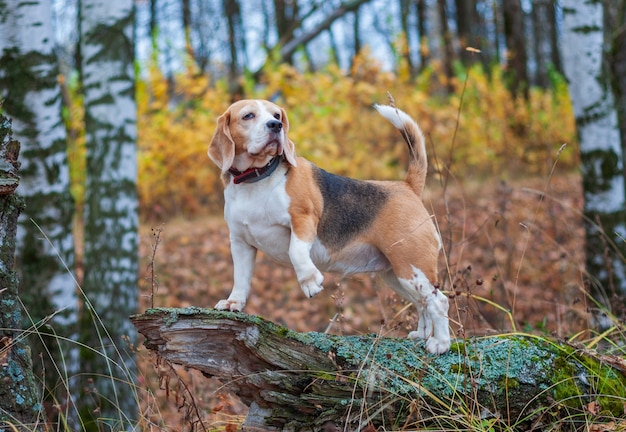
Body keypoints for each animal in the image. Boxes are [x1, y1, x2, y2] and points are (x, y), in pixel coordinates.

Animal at [208, 99, 448, 352]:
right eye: (248, 116)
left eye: (277, 115)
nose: (275, 126)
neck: (256, 179)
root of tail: (407, 186)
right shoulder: (240, 242)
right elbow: (241, 277)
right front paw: (233, 302)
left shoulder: (303, 219)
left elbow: (295, 251)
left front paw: (310, 282)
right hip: (397, 274)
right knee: (422, 303)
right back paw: (422, 335)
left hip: (412, 266)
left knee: (439, 301)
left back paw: (440, 343)